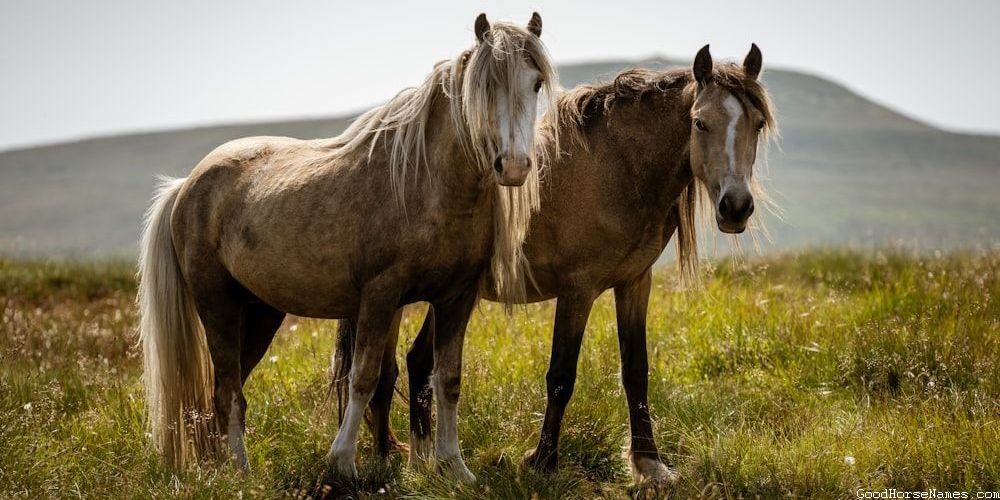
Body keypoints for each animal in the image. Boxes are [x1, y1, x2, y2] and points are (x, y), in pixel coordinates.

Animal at [137, 12, 559, 482]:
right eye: (483, 87)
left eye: (535, 83)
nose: (514, 166)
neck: (427, 184)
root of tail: (186, 185)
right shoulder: (380, 295)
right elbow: (364, 377)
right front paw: (343, 462)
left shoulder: (456, 298)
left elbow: (447, 379)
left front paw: (454, 466)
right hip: (218, 306)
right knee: (229, 392)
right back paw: (243, 473)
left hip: (260, 314)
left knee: (225, 392)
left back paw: (222, 469)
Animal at [332, 44, 777, 485]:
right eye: (700, 123)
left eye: (757, 124)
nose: (736, 207)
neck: (617, 167)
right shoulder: (578, 290)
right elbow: (561, 375)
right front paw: (543, 461)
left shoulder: (635, 282)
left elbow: (636, 371)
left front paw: (650, 464)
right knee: (386, 372)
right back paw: (386, 460)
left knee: (416, 362)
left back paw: (424, 461)